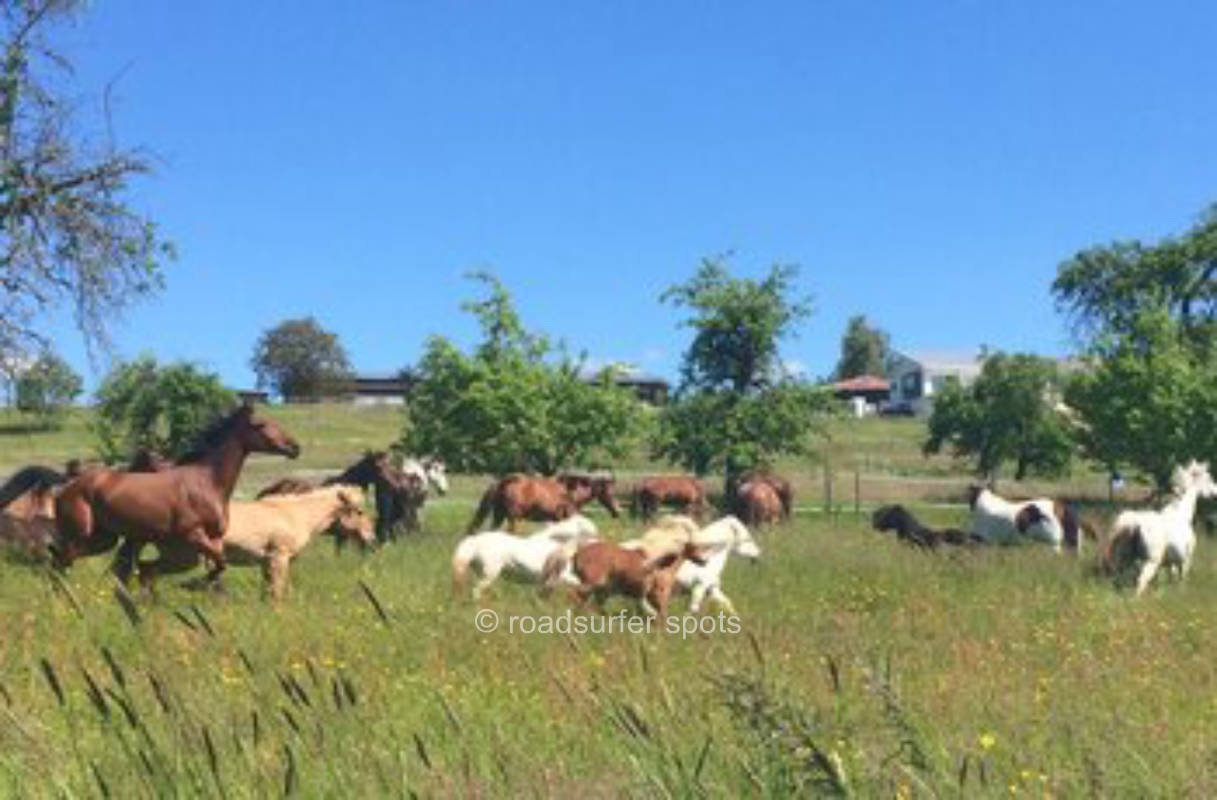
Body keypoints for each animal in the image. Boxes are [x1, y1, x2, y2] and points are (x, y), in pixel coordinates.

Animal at [53, 404, 301, 589]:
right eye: (261, 425)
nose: (294, 447)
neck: (207, 483)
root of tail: (66, 487)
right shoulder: (193, 535)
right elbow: (218, 564)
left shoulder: (215, 538)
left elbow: (219, 565)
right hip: (81, 534)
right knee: (61, 562)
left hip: (104, 539)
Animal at [134, 486, 374, 600]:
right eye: (360, 511)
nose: (371, 537)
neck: (296, 514)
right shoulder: (279, 558)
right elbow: (277, 592)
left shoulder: (266, 563)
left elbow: (268, 593)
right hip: (182, 559)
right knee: (146, 570)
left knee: (145, 570)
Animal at [451, 514, 599, 600]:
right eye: (589, 529)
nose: (599, 540)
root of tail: (475, 541)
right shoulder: (560, 576)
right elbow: (578, 582)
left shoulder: (548, 581)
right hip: (490, 573)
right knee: (476, 591)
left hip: (483, 572)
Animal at [1102, 460, 1217, 595]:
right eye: (1208, 477)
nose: (1215, 491)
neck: (1180, 514)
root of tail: (1133, 524)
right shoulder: (1185, 562)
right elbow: (1182, 582)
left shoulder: (1170, 564)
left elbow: (1170, 578)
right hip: (1150, 563)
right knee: (1140, 582)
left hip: (1124, 563)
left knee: (1118, 581)